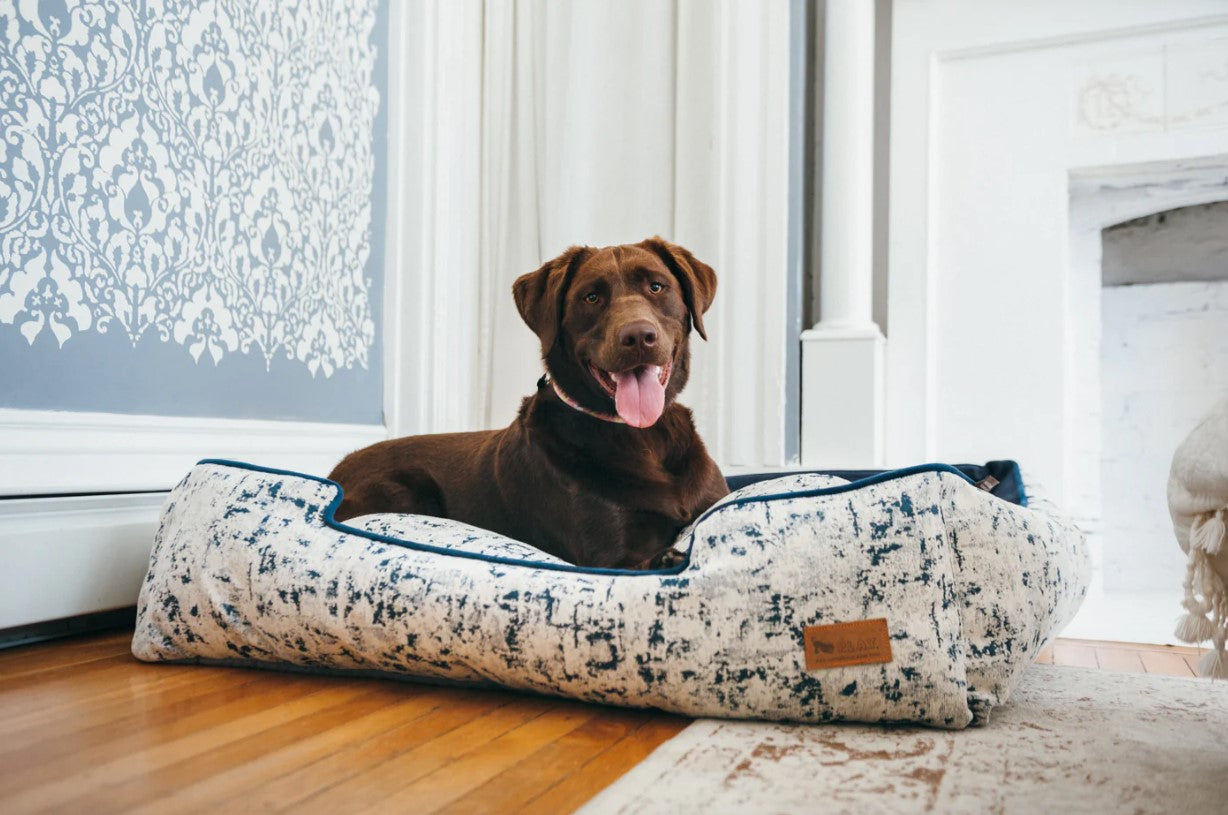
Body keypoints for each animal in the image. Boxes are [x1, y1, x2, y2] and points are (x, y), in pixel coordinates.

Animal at [326, 236, 726, 567]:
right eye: (591, 297)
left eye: (656, 286)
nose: (638, 336)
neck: (643, 437)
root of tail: (335, 471)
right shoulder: (611, 556)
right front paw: (672, 557)